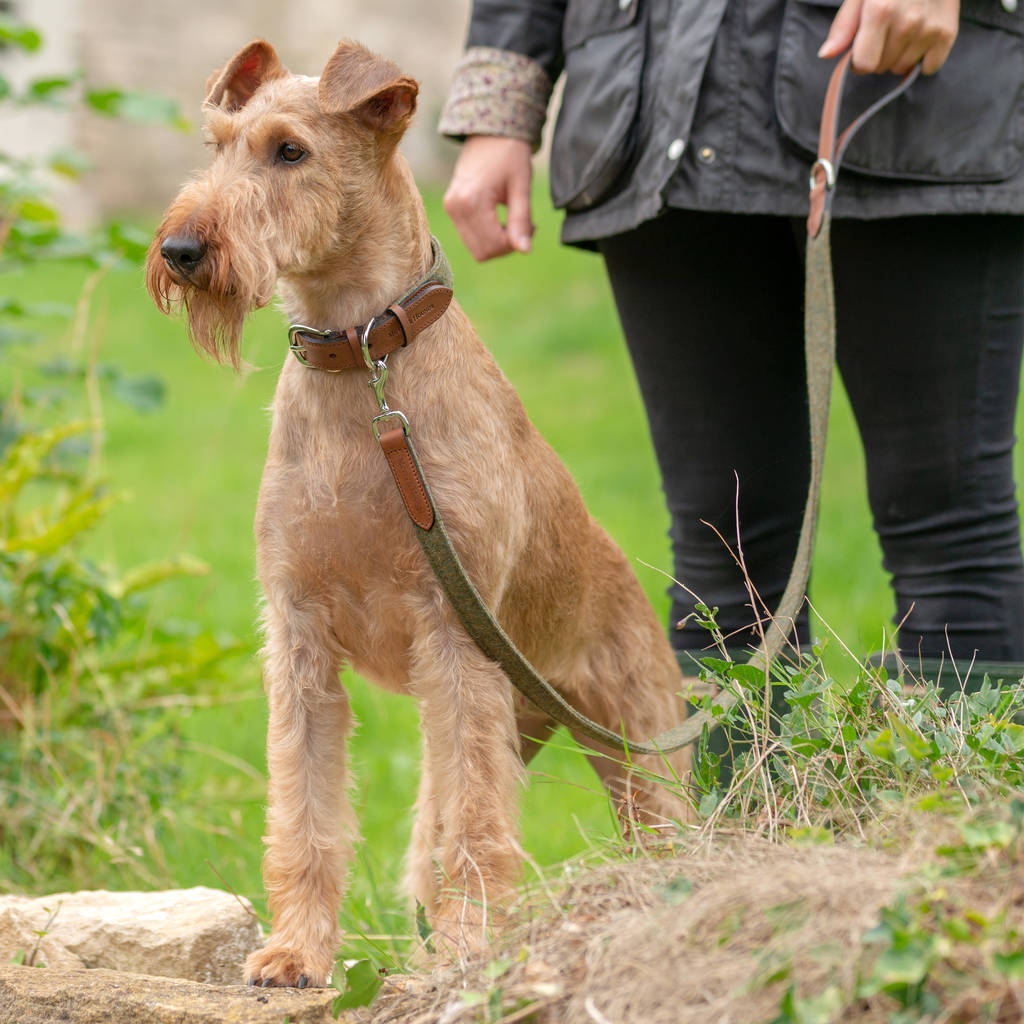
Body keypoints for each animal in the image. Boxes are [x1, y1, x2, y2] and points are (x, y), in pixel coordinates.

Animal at [146, 41, 688, 991]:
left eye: (290, 151)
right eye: (216, 145)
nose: (180, 249)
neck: (360, 357)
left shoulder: (454, 640)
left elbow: (471, 825)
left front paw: (469, 951)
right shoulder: (298, 637)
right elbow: (305, 813)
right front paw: (295, 951)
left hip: (636, 744)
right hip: (512, 718)